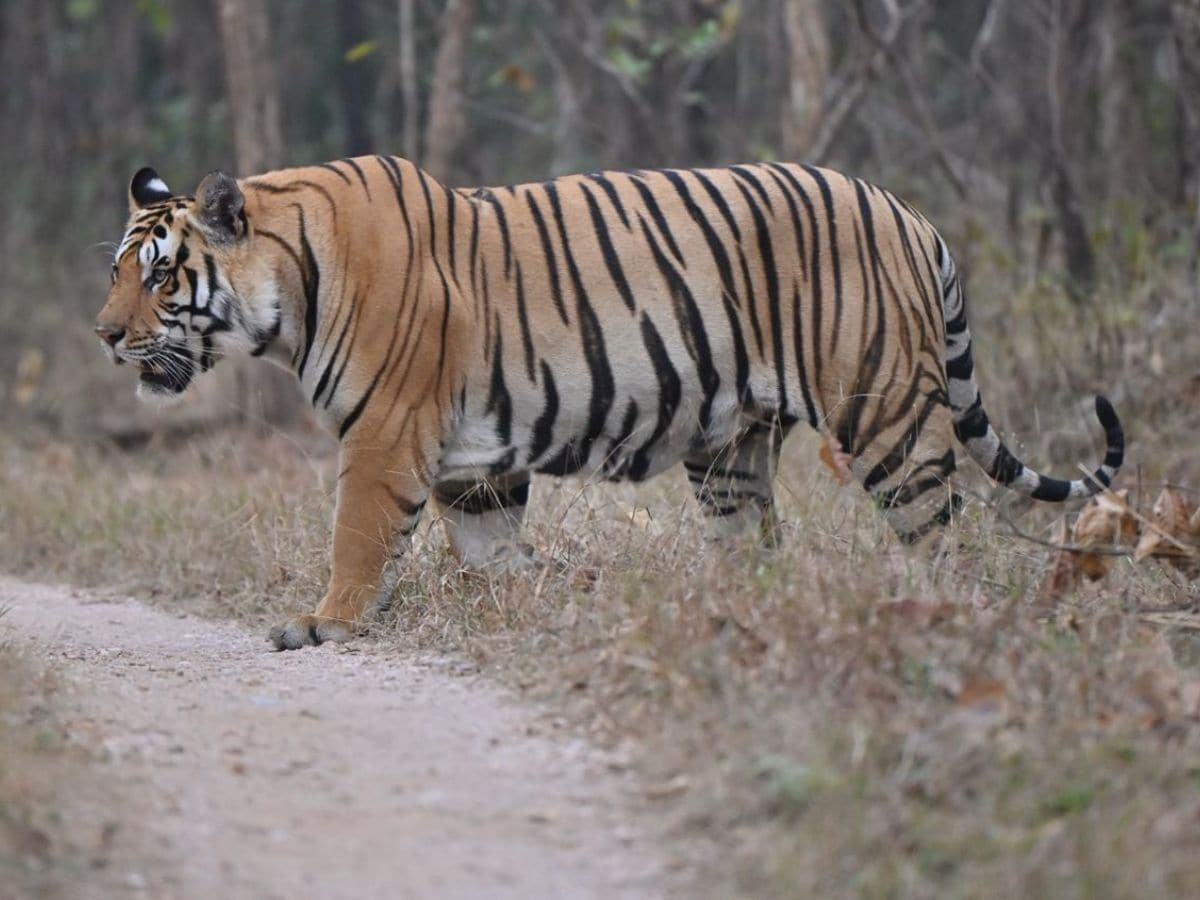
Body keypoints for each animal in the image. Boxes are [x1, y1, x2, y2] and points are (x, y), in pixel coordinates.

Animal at [96, 154, 1123, 648]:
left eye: (159, 277)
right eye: (117, 271)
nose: (104, 336)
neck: (291, 285)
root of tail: (908, 211)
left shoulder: (384, 435)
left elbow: (358, 535)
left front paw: (327, 622)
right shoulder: (473, 466)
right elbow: (492, 554)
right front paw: (549, 598)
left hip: (885, 417)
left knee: (945, 534)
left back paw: (954, 614)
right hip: (729, 450)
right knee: (755, 543)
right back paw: (726, 611)